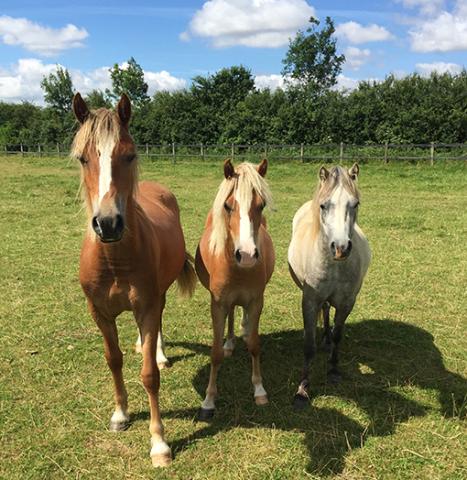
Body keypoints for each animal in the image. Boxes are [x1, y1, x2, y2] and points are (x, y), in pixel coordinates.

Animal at [70, 93, 197, 464]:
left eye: (129, 155)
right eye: (83, 158)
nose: (108, 223)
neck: (114, 260)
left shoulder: (147, 306)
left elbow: (149, 375)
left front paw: (159, 443)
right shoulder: (99, 312)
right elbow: (113, 360)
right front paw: (120, 414)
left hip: (159, 297)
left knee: (159, 325)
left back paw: (160, 352)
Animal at [196, 159, 276, 418]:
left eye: (261, 205)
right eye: (228, 206)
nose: (248, 255)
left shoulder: (256, 301)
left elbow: (254, 345)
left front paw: (259, 390)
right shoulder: (218, 304)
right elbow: (215, 353)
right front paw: (209, 400)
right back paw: (230, 342)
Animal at [288, 164, 372, 408]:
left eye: (355, 204)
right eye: (324, 205)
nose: (341, 248)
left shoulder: (347, 303)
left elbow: (337, 335)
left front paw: (333, 370)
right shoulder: (309, 301)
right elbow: (308, 345)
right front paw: (302, 389)